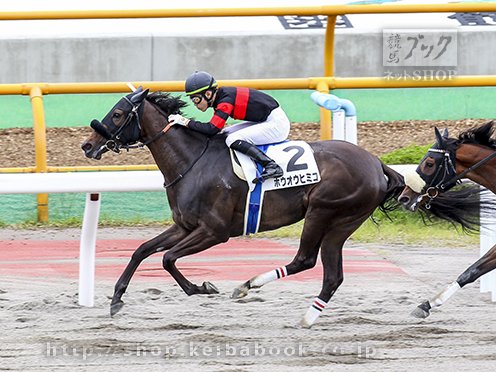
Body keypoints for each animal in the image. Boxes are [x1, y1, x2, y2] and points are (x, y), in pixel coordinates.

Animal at [82, 88, 406, 326]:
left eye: (118, 114)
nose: (87, 145)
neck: (192, 162)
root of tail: (376, 163)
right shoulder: (184, 225)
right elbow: (142, 251)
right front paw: (116, 299)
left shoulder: (214, 231)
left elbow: (167, 259)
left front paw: (201, 288)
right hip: (343, 223)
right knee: (332, 276)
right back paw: (301, 314)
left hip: (325, 212)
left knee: (305, 260)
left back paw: (252, 288)